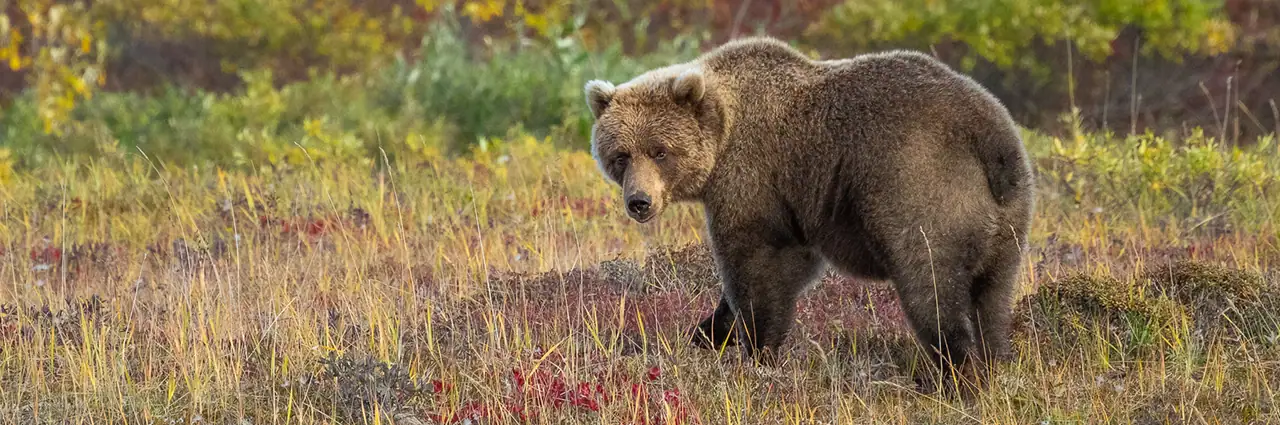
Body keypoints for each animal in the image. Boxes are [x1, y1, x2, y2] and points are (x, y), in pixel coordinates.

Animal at [582, 36, 1034, 391]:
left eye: (660, 151)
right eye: (621, 155)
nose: (639, 201)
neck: (723, 134)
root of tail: (993, 135)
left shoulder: (752, 180)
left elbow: (755, 268)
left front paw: (757, 351)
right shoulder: (796, 208)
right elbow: (788, 268)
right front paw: (706, 333)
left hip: (922, 185)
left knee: (932, 286)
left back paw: (956, 377)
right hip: (1007, 219)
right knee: (992, 298)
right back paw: (996, 363)